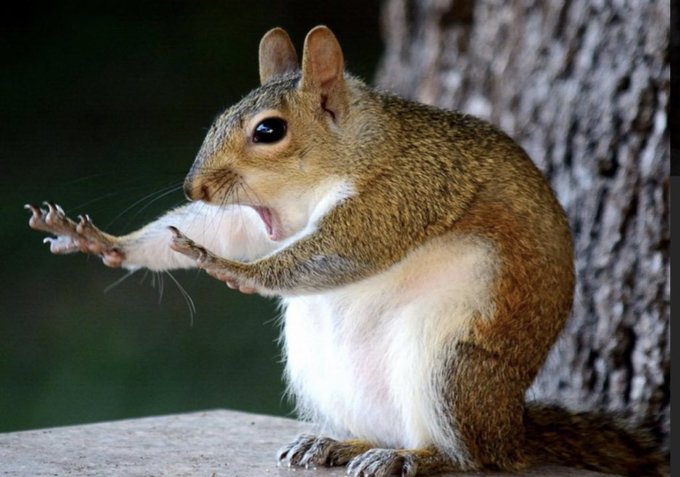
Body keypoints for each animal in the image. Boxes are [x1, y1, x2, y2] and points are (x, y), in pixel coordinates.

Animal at [26, 26, 666, 477]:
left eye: (268, 131)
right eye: (221, 116)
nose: (195, 189)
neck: (354, 152)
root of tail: (511, 429)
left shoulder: (407, 190)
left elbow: (344, 250)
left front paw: (231, 268)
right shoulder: (265, 219)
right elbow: (226, 230)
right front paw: (104, 242)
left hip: (451, 367)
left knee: (470, 457)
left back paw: (415, 458)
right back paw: (337, 444)